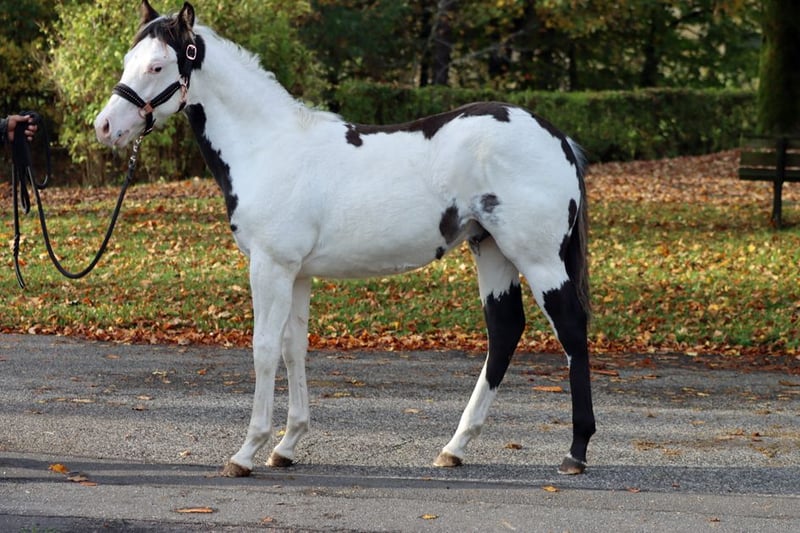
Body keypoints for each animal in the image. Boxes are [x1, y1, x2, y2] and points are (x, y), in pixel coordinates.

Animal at [95, 1, 596, 477]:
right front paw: (287, 446)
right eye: (128, 61)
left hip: (538, 258)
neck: (268, 147)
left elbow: (264, 348)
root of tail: (557, 137)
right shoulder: (297, 273)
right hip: (490, 249)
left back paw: (575, 452)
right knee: (505, 330)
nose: (104, 127)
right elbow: (294, 348)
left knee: (570, 327)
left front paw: (247, 451)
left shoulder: (270, 266)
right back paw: (454, 447)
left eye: (157, 66)